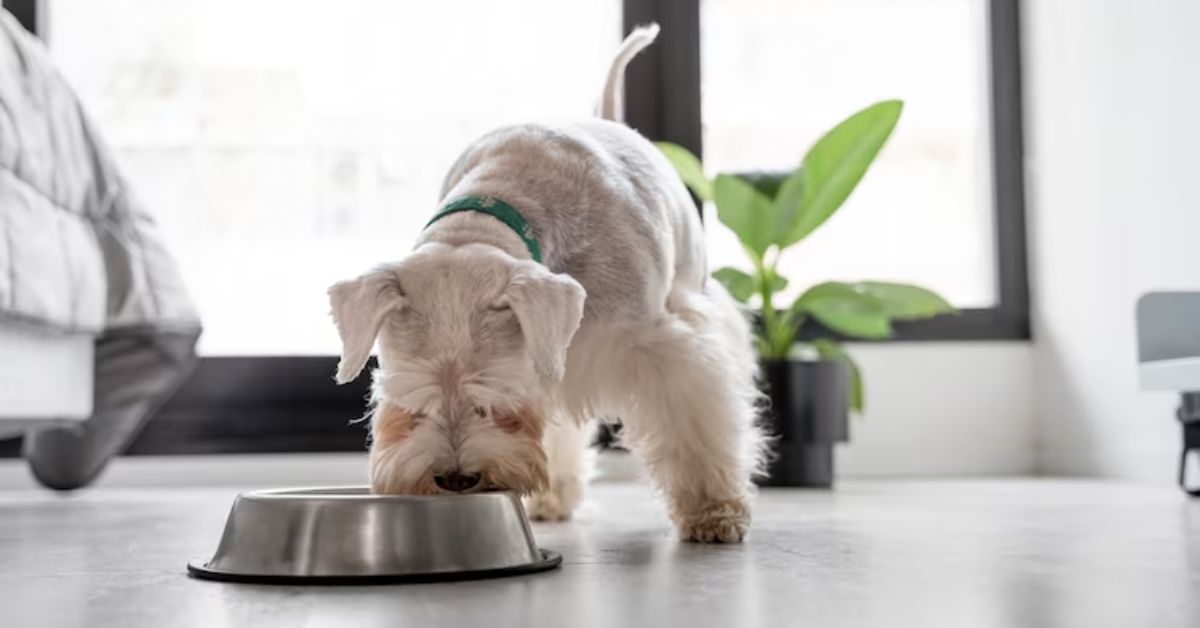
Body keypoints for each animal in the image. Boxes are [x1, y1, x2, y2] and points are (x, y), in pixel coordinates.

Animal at [324, 24, 763, 542]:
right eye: (410, 401)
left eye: (496, 397)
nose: (456, 478)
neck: (497, 204)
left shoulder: (660, 346)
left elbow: (691, 422)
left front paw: (713, 511)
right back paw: (552, 498)